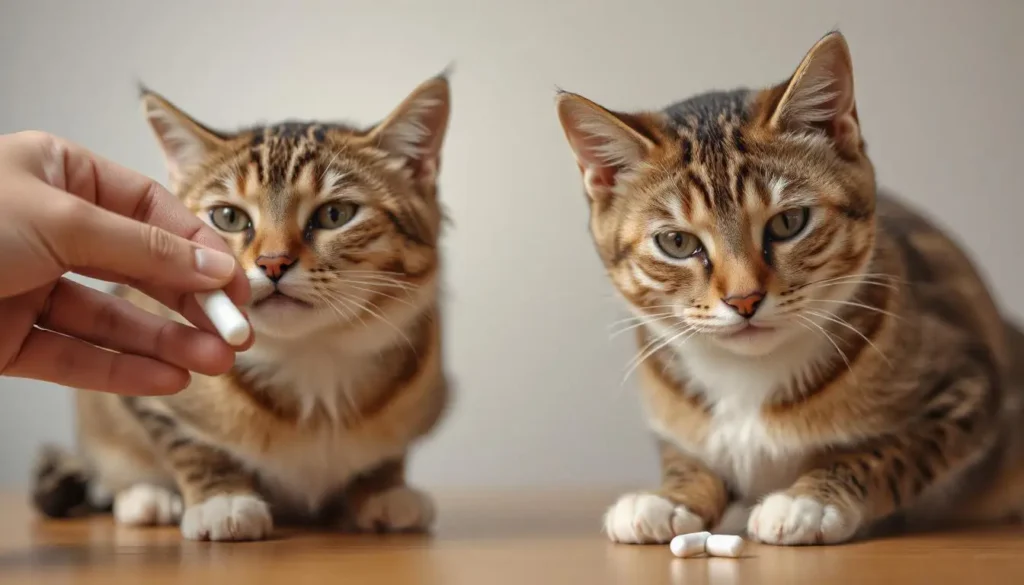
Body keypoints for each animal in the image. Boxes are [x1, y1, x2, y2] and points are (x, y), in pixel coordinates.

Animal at [30, 75, 452, 540]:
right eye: (229, 218)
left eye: (336, 214)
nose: (273, 263)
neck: (312, 359)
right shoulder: (147, 381)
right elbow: (190, 442)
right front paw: (223, 501)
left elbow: (389, 451)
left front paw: (383, 489)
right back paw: (145, 497)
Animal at [557, 30, 1024, 545]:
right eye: (676, 242)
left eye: (788, 222)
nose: (743, 299)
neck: (748, 377)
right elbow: (687, 456)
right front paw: (672, 497)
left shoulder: (969, 387)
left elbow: (890, 451)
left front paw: (811, 500)